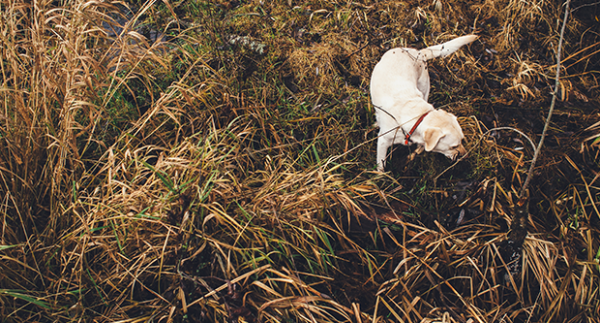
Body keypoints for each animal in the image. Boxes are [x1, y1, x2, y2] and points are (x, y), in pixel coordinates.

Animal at [368, 35, 476, 172]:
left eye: (462, 140)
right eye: (453, 146)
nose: (466, 156)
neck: (416, 117)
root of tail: (419, 52)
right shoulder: (382, 141)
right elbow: (381, 166)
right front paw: (381, 176)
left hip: (424, 87)